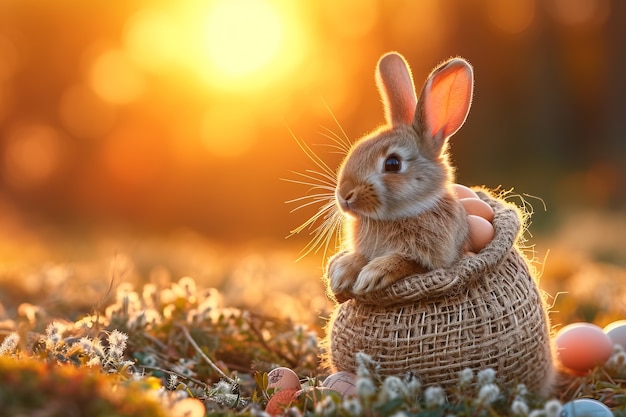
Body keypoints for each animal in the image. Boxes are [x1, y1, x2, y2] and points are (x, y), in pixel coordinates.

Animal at [326, 52, 472, 300]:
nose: (344, 195)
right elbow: (359, 258)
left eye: (393, 163)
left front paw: (371, 276)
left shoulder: (435, 262)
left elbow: (406, 261)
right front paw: (341, 272)